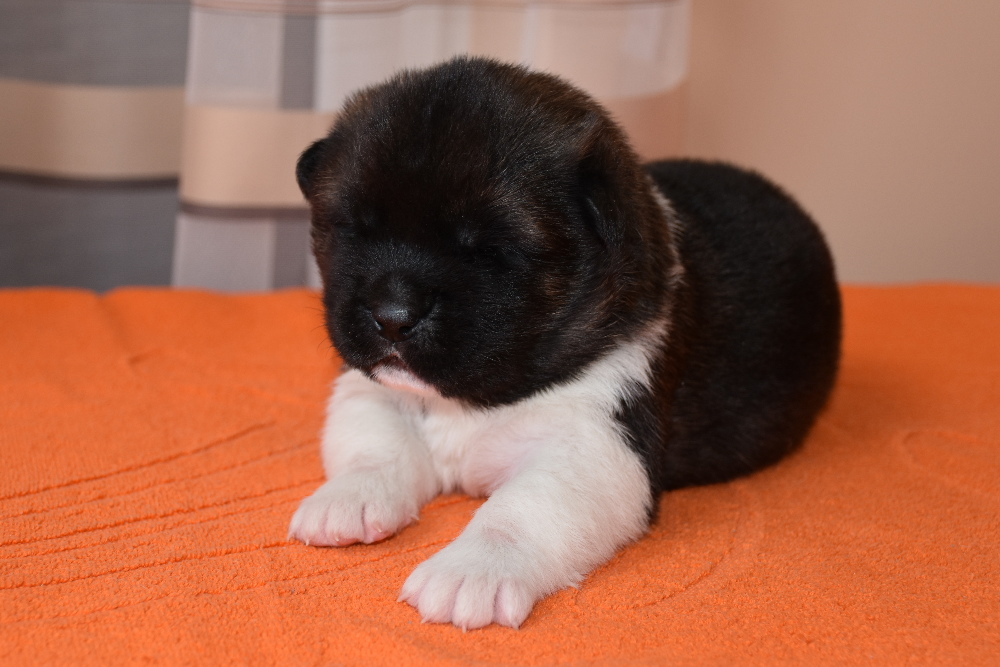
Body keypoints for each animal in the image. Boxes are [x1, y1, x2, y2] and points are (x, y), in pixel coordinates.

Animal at [288, 56, 841, 630]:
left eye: (489, 249)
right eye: (354, 230)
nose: (392, 317)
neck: (471, 400)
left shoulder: (597, 443)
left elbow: (523, 509)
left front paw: (472, 570)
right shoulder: (368, 389)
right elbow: (373, 446)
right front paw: (347, 499)